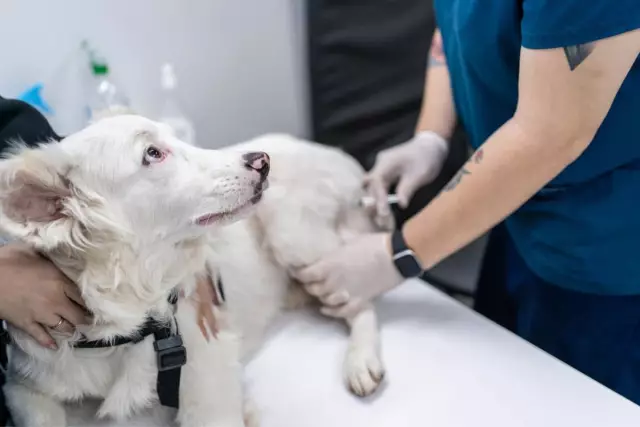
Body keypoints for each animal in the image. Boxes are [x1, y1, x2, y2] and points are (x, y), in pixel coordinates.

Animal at [0, 116, 388, 427]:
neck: (125, 329)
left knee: (357, 297)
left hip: (292, 233)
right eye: (152, 153)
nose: (262, 161)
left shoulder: (209, 384)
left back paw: (360, 361)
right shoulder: (22, 387)